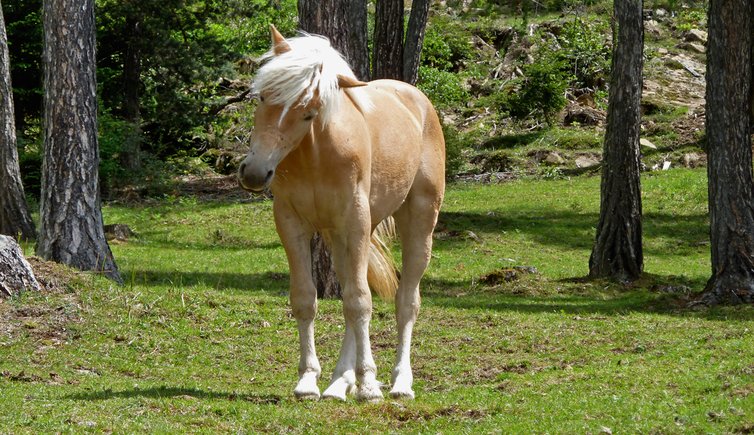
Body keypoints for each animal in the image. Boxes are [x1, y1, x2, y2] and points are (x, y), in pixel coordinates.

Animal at [238, 26, 444, 402]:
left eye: (309, 111)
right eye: (262, 97)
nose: (255, 173)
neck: (316, 155)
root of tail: (417, 100)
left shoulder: (354, 223)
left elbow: (360, 302)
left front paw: (369, 385)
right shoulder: (292, 223)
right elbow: (308, 299)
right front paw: (309, 381)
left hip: (417, 224)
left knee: (405, 301)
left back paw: (399, 383)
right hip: (340, 238)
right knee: (351, 292)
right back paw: (338, 383)